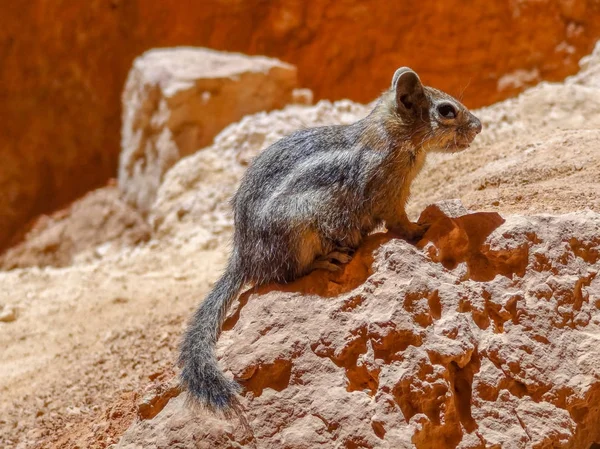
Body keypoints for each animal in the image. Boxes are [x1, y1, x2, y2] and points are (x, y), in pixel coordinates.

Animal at [178, 66, 482, 412]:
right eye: (447, 111)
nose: (479, 126)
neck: (389, 135)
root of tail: (242, 256)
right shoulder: (388, 196)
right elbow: (399, 223)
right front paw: (420, 229)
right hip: (298, 234)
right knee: (284, 274)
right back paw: (326, 260)